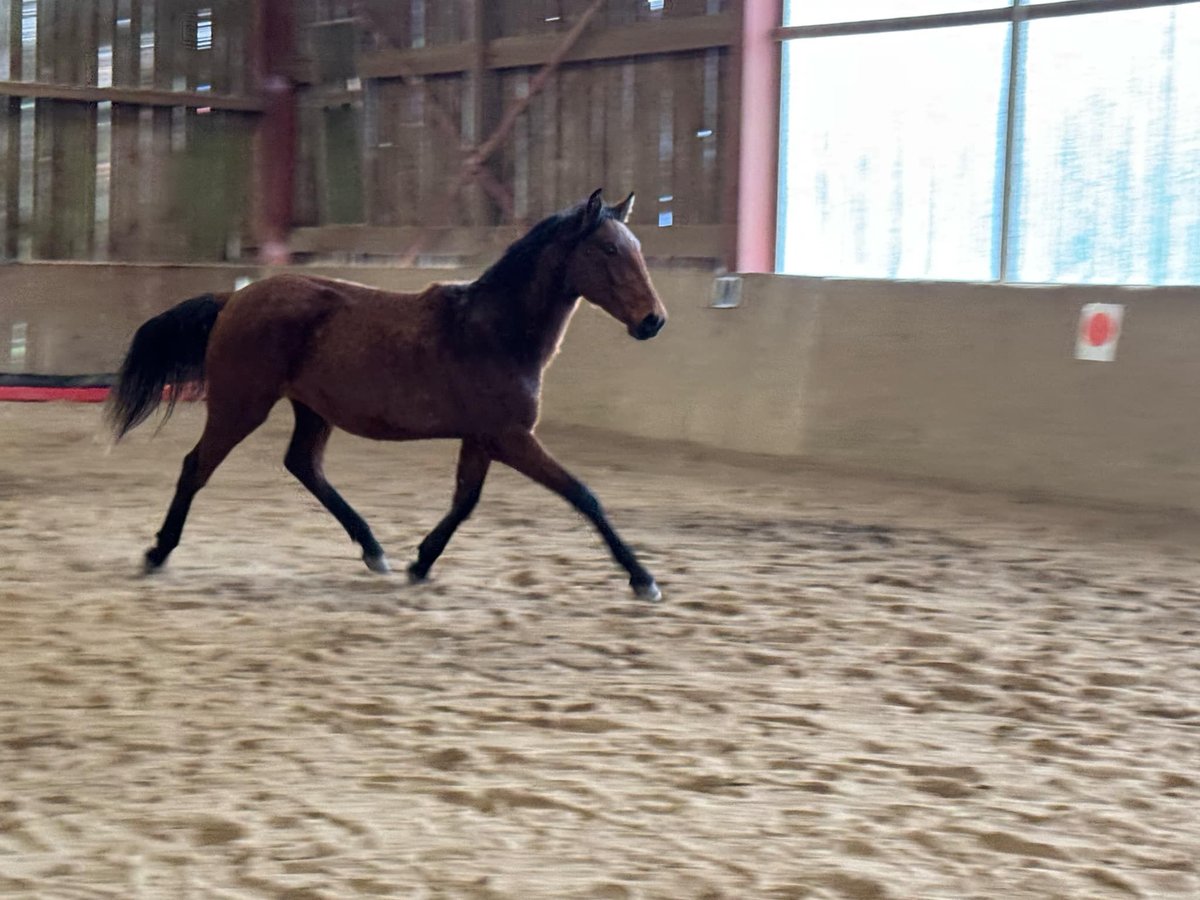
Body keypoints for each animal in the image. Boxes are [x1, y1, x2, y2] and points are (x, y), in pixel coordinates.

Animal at [103, 189, 667, 600]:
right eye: (609, 250)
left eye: (638, 250)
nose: (653, 321)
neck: (493, 329)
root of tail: (235, 297)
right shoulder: (511, 437)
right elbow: (582, 495)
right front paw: (643, 579)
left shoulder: (482, 439)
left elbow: (466, 500)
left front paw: (421, 561)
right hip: (241, 405)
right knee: (196, 465)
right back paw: (158, 552)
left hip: (311, 409)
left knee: (303, 465)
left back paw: (374, 549)